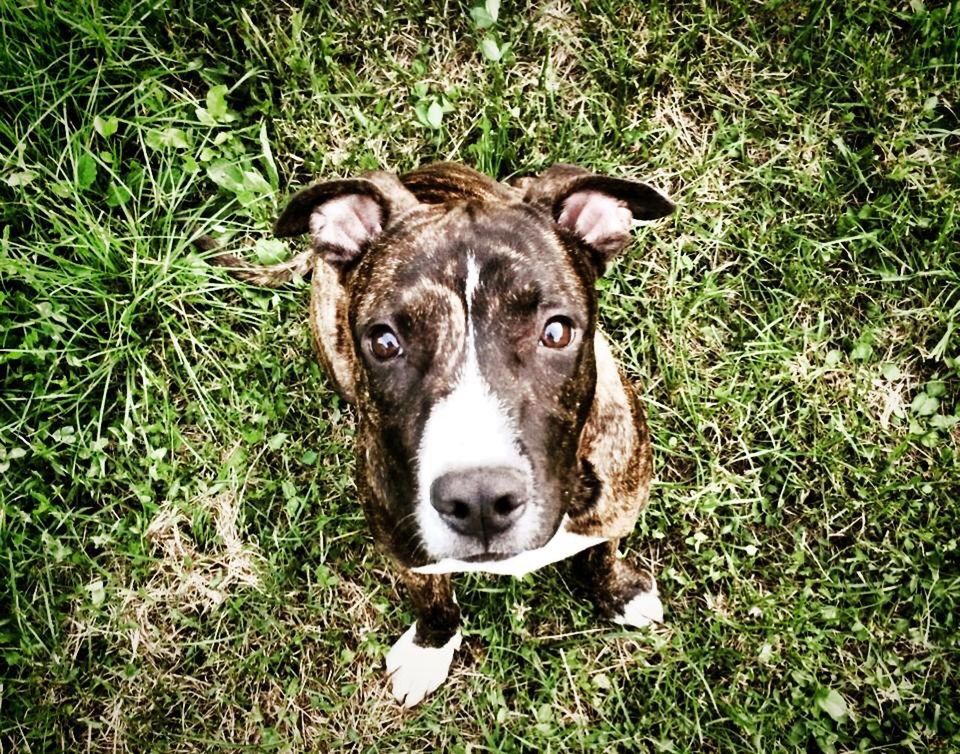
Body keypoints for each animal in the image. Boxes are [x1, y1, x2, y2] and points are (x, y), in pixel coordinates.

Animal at [208, 160, 676, 704]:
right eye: (384, 342)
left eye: (557, 331)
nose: (479, 500)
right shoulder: (406, 556)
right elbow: (433, 601)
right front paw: (430, 648)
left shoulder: (616, 509)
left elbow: (603, 552)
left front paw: (619, 592)